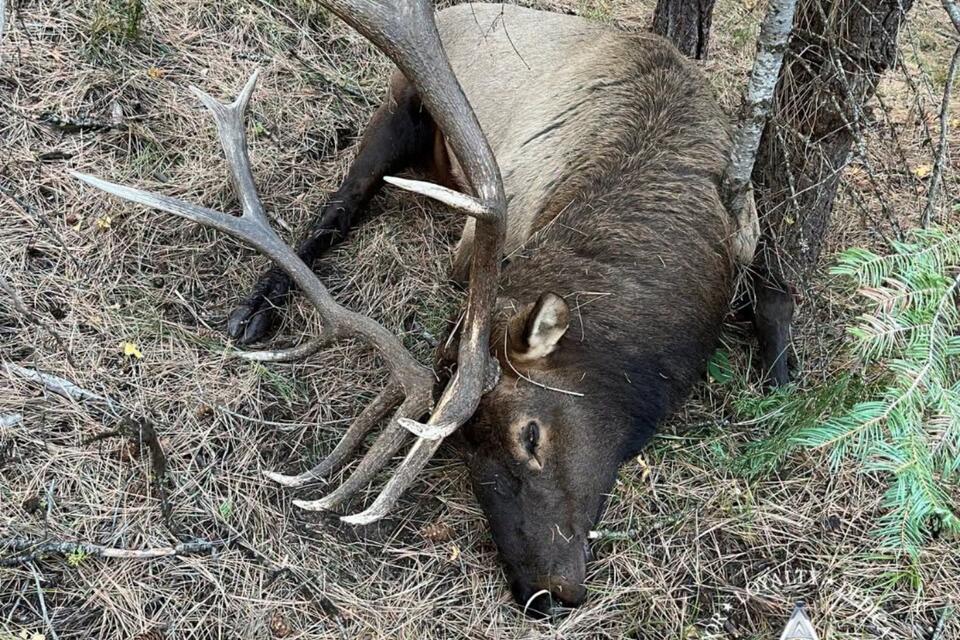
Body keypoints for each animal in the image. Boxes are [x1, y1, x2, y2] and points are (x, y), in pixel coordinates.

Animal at [74, 0, 788, 617]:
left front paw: (780, 379)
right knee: (340, 202)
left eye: (530, 434)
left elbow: (777, 308)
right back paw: (255, 307)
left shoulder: (751, 235)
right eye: (465, 453)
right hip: (399, 107)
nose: (544, 592)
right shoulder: (473, 243)